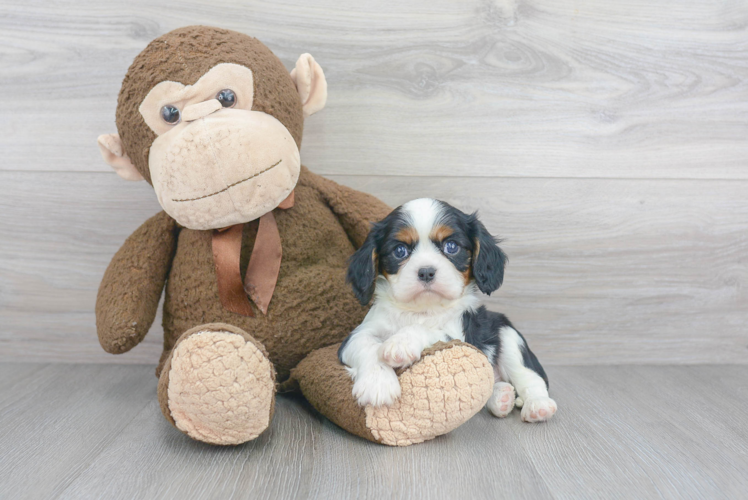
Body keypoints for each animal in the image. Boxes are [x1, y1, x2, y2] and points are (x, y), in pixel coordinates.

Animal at [338, 198, 556, 422]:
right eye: (400, 251)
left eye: (451, 247)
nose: (426, 272)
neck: (422, 310)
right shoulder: (355, 336)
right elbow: (367, 345)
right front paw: (377, 383)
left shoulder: (458, 336)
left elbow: (427, 330)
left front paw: (400, 343)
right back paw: (502, 398)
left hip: (508, 335)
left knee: (531, 378)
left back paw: (538, 405)